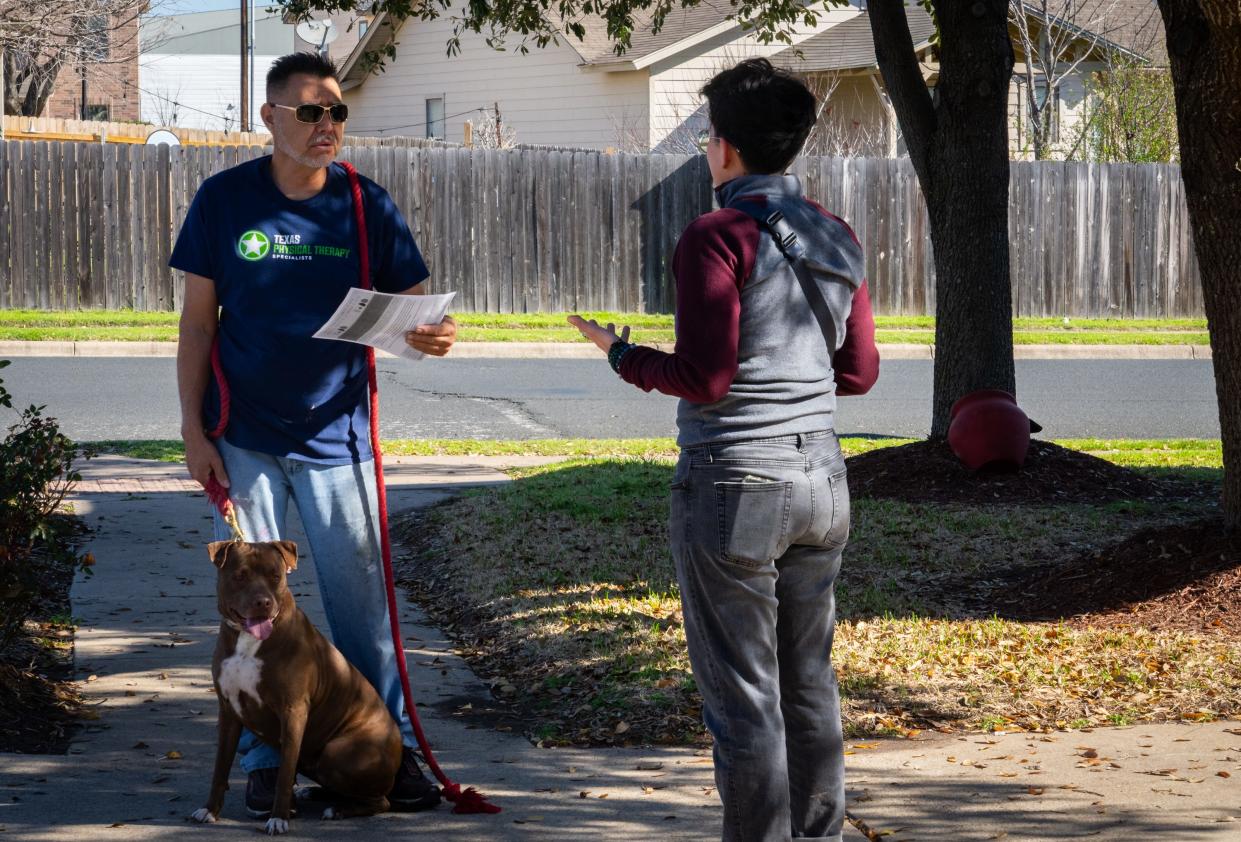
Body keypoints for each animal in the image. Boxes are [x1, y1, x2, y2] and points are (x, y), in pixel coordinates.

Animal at [191, 541, 402, 839]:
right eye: (240, 575)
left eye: (275, 576)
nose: (263, 602)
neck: (248, 642)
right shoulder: (229, 710)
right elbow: (220, 769)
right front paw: (210, 810)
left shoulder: (293, 712)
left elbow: (284, 774)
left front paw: (278, 818)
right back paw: (314, 794)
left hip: (338, 751)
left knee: (379, 801)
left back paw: (338, 809)